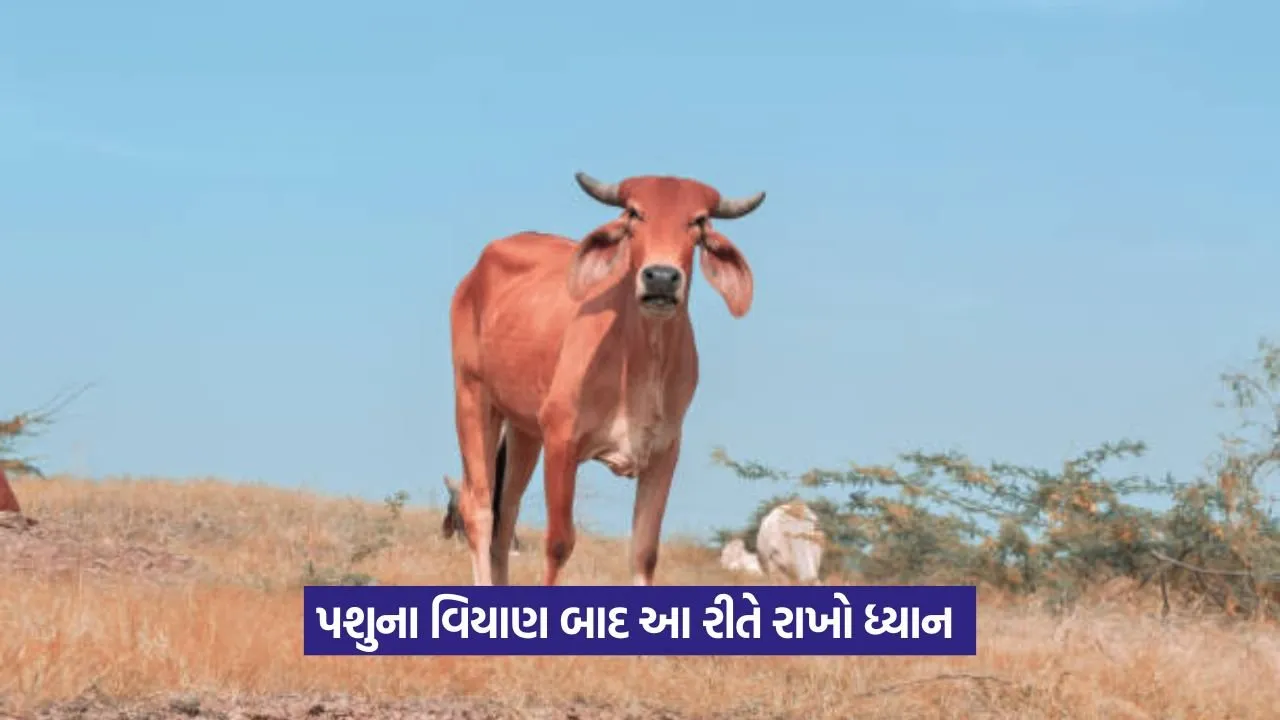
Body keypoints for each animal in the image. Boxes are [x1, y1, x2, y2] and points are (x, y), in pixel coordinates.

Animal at [447, 171, 766, 586]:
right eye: (634, 213)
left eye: (697, 221)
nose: (661, 277)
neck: (639, 361)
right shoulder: (561, 439)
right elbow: (558, 542)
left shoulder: (664, 453)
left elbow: (644, 553)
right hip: (472, 396)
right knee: (479, 508)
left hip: (524, 429)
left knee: (506, 515)